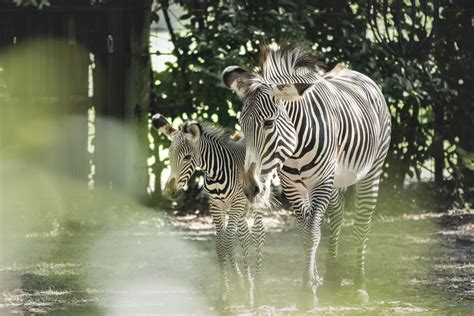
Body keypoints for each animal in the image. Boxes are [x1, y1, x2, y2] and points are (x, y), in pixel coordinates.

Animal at [152, 115, 266, 308]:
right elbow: (220, 245)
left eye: (187, 157)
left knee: (258, 234)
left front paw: (239, 286)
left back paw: (257, 290)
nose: (169, 193)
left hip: (255, 199)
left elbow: (227, 243)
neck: (216, 173)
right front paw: (224, 292)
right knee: (245, 235)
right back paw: (250, 286)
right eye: (169, 155)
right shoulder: (216, 206)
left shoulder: (235, 203)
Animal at [224, 43, 390, 308]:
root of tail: (354, 72)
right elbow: (305, 234)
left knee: (362, 224)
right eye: (241, 123)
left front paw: (306, 293)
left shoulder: (321, 183)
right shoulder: (293, 187)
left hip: (371, 171)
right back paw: (331, 276)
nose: (250, 188)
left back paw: (360, 285)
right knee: (337, 216)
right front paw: (312, 281)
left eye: (269, 123)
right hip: (335, 181)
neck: (296, 149)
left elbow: (312, 233)